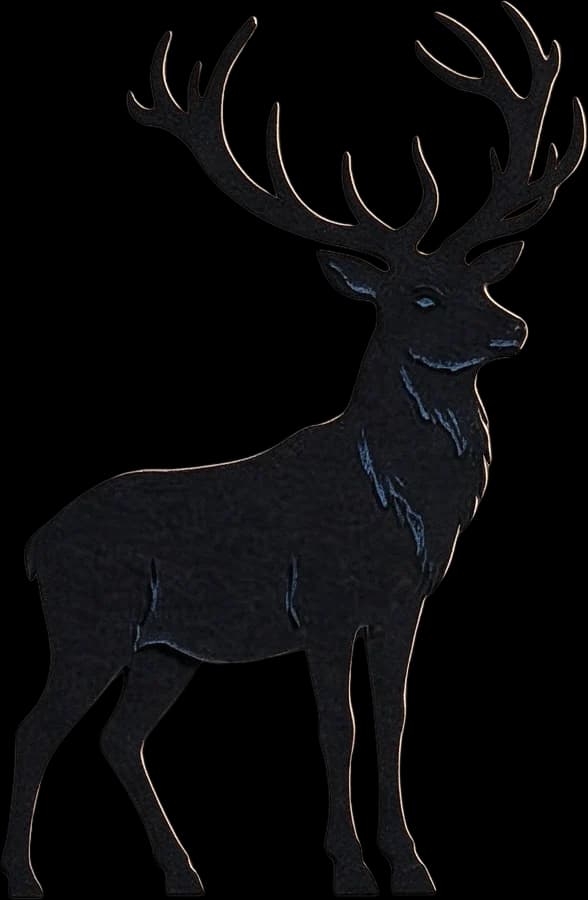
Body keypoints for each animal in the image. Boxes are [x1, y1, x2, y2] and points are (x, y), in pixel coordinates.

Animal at [2, 4, 584, 897]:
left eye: (482, 281)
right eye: (422, 295)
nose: (514, 327)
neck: (398, 504)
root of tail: (38, 547)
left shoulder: (402, 605)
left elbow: (394, 719)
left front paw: (411, 866)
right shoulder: (323, 602)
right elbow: (335, 727)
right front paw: (350, 870)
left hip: (166, 650)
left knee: (118, 738)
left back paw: (184, 874)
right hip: (90, 623)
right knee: (36, 728)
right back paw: (26, 878)